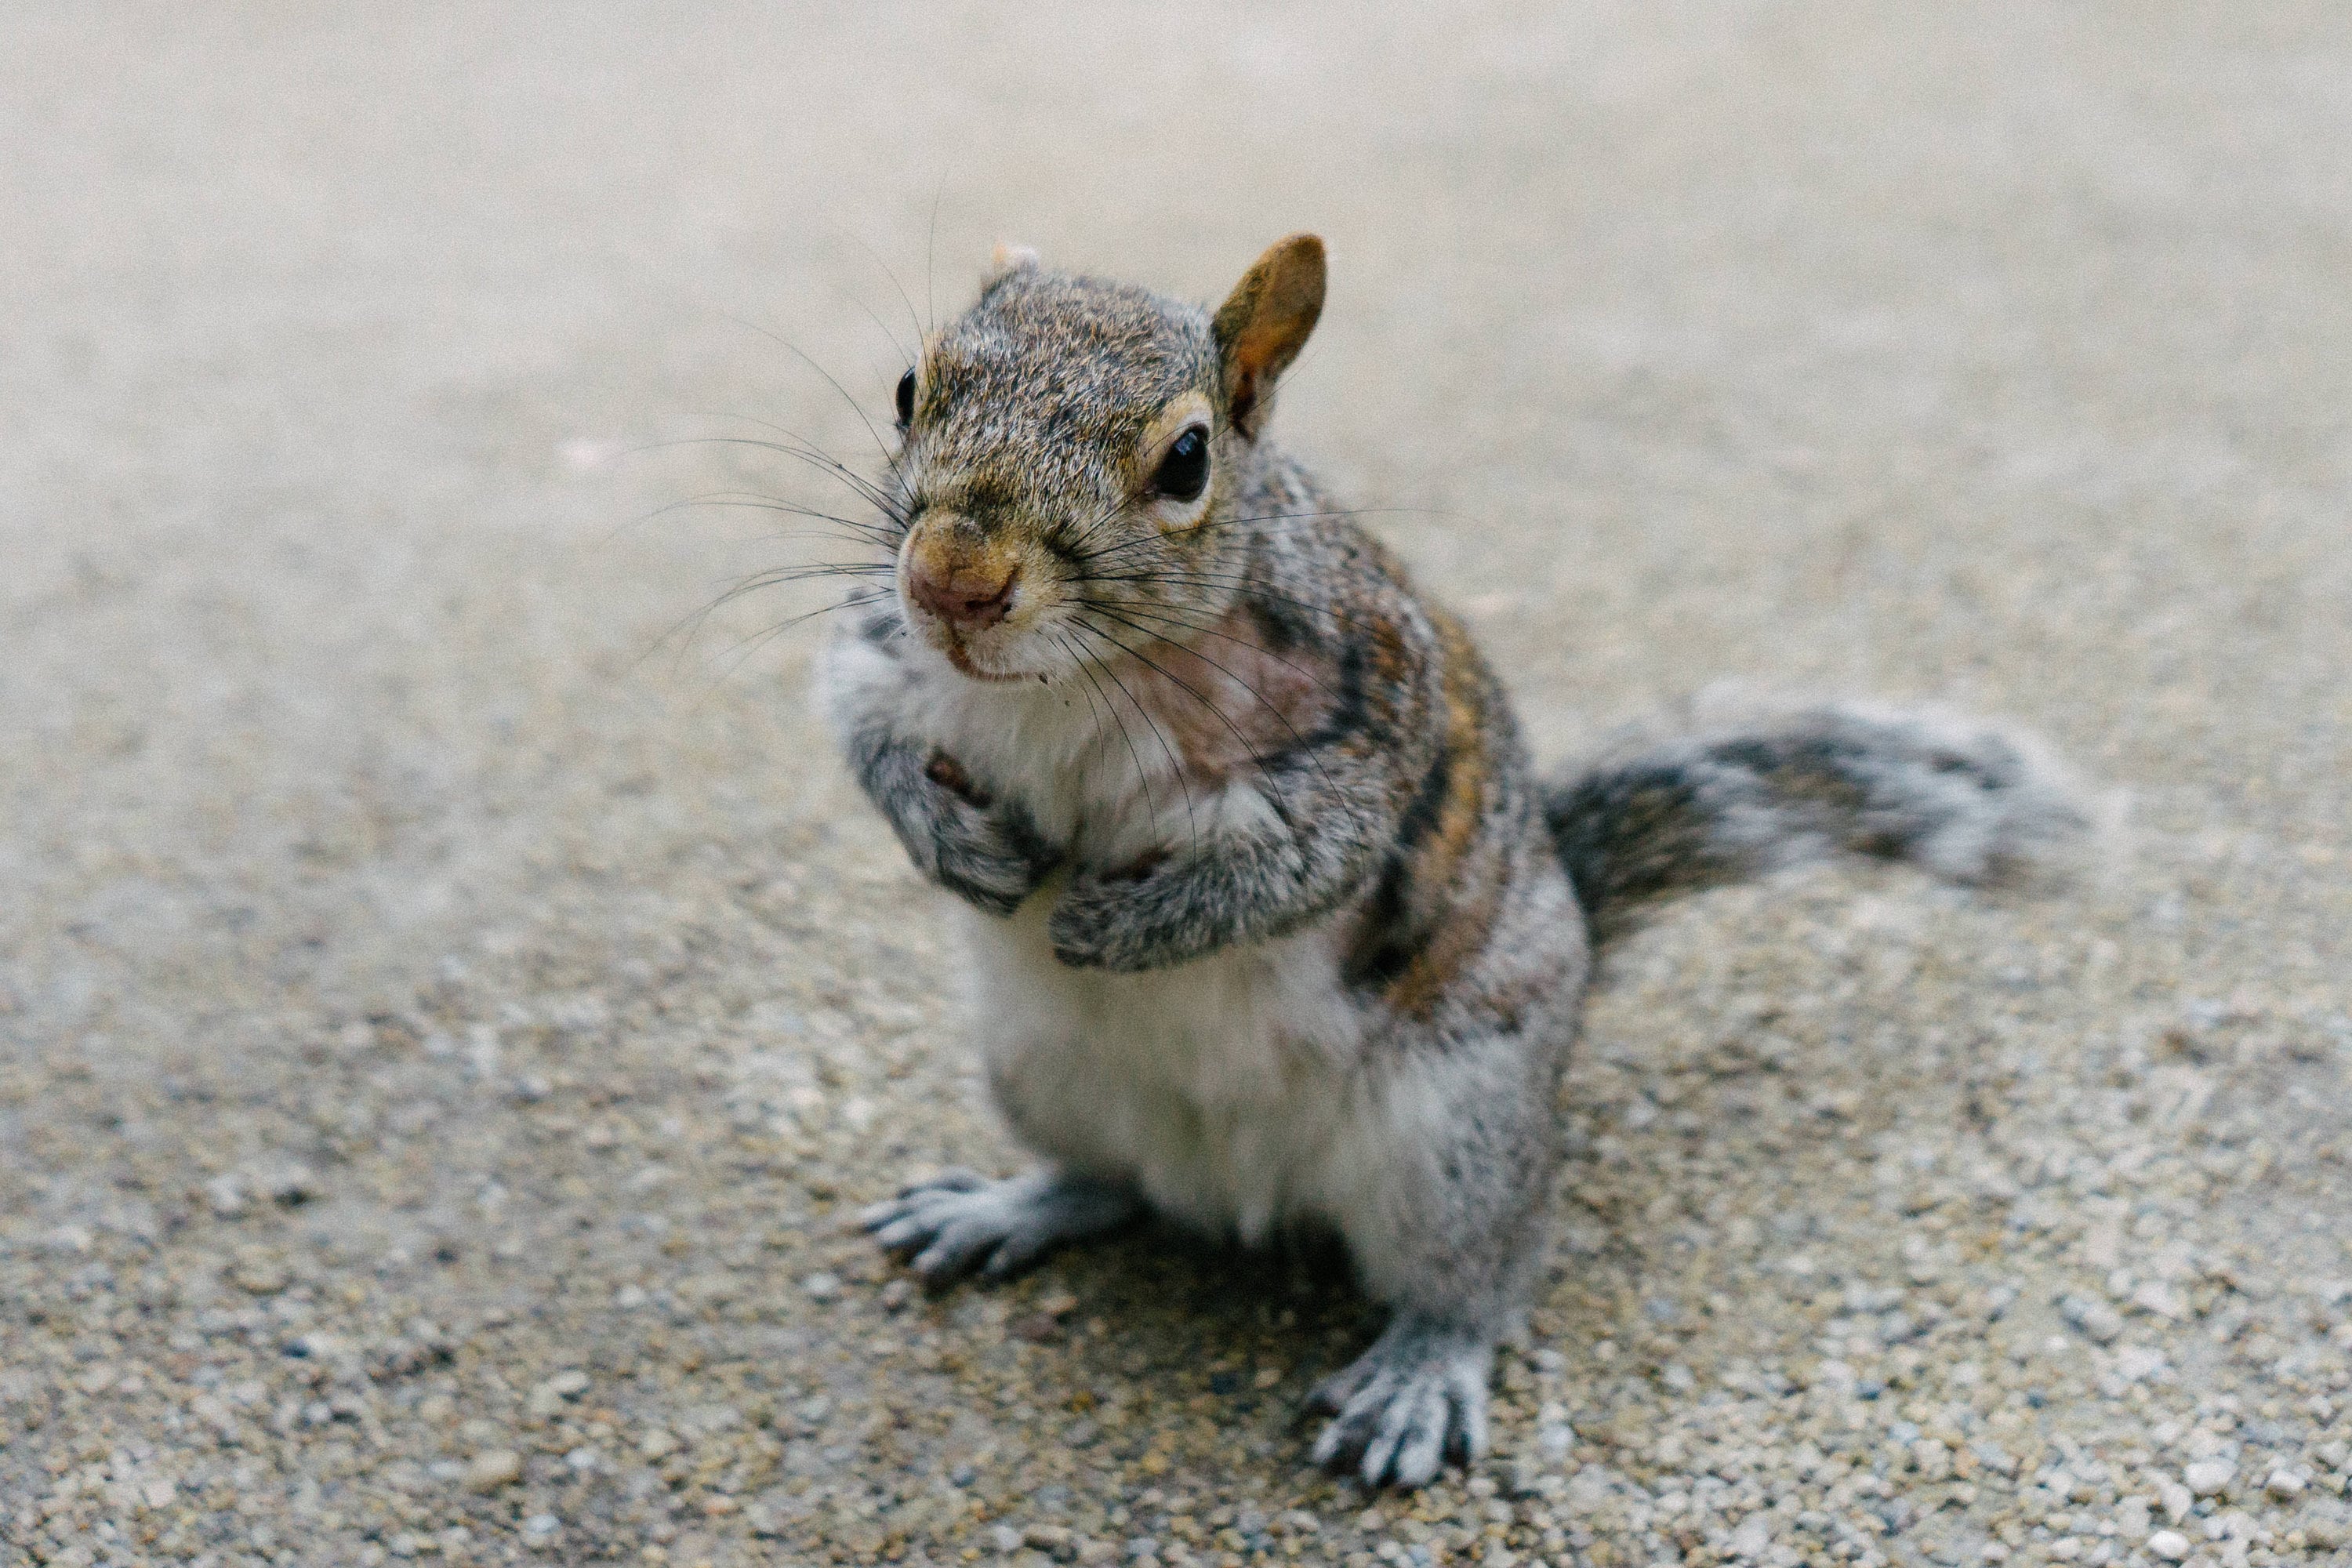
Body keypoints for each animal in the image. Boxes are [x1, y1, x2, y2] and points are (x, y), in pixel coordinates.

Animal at [817, 234, 2086, 1488]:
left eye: (1187, 459)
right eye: (909, 389)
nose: (954, 579)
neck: (1074, 679)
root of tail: (1234, 1188)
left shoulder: (1374, 718)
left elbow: (1304, 865)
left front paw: (1126, 925)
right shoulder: (884, 646)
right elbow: (859, 722)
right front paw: (952, 845)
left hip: (1457, 1138)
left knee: (1479, 1279)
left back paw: (1421, 1373)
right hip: (1040, 1071)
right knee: (1108, 1181)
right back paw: (1004, 1204)